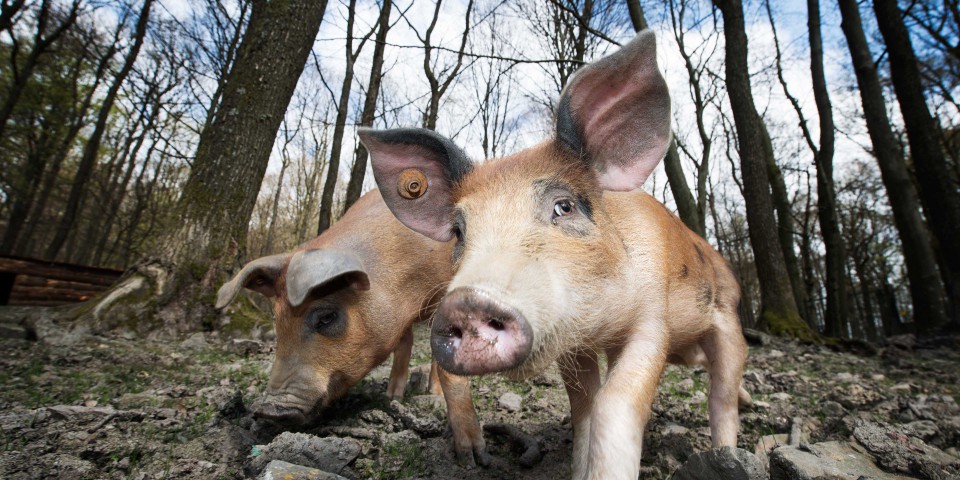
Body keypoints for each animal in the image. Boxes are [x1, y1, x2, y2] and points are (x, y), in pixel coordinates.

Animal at [215, 190, 492, 464]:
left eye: (327, 317)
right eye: (277, 318)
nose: (268, 409)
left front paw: (473, 458)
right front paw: (391, 397)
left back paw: (431, 396)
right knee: (407, 343)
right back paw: (393, 396)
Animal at [358, 31, 752, 480]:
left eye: (564, 207)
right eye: (459, 231)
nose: (466, 304)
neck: (602, 326)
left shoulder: (654, 322)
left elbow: (615, 404)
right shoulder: (575, 347)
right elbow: (584, 412)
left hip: (728, 317)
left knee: (722, 395)